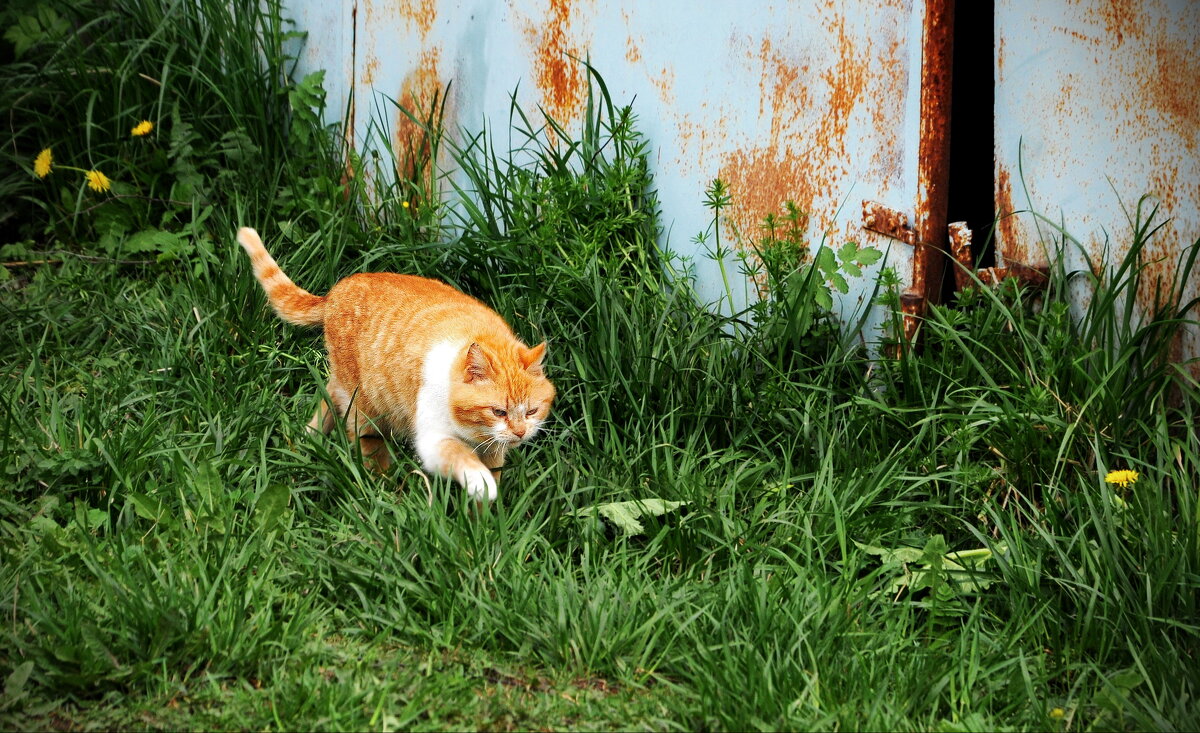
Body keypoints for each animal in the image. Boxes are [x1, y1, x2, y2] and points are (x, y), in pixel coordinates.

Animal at [237, 229, 556, 503]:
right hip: (365, 408)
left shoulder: (493, 450)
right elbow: (460, 457)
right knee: (362, 436)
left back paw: (307, 441)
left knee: (328, 397)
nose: (520, 433)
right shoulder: (433, 440)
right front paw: (480, 483)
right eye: (498, 411)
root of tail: (337, 289)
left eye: (531, 411)